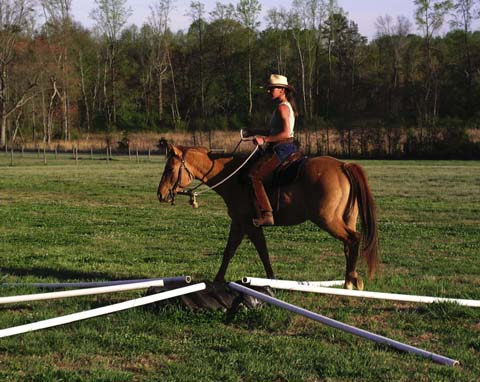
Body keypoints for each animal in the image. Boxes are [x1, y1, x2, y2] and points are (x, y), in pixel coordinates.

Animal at [158, 143, 378, 290]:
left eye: (170, 169)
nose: (160, 194)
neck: (233, 177)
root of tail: (343, 166)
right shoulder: (238, 223)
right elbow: (229, 251)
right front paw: (218, 279)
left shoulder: (250, 225)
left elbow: (261, 251)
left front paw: (271, 279)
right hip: (346, 219)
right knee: (348, 245)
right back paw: (352, 280)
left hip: (328, 220)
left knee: (353, 239)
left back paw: (350, 280)